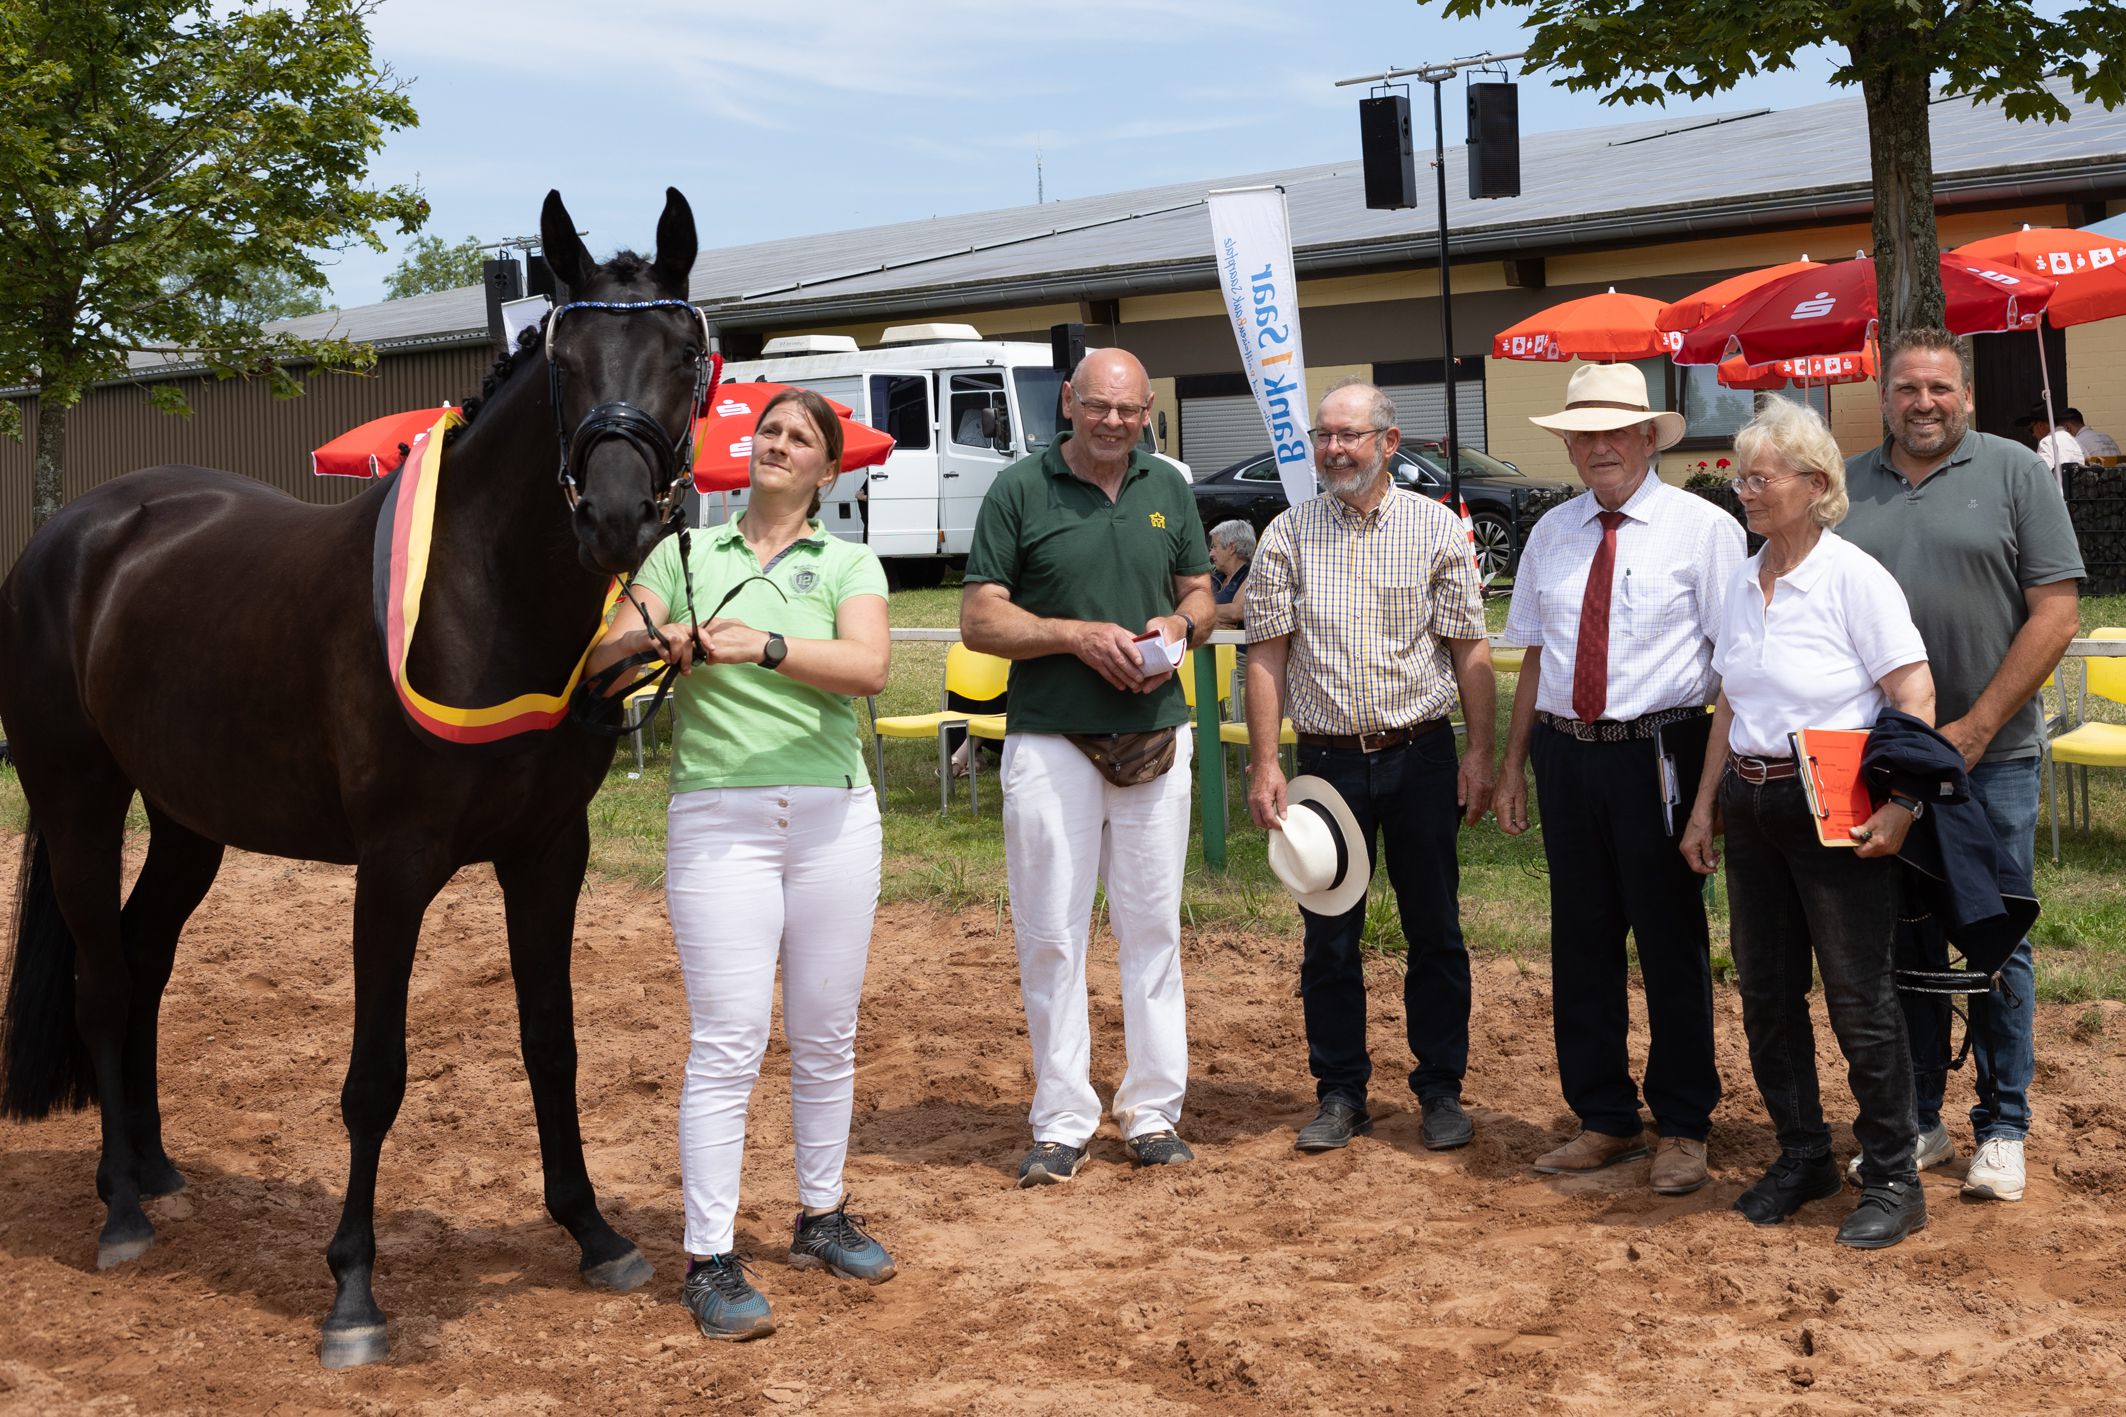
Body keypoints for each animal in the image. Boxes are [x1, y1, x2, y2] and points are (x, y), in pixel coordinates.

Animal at [0, 185, 710, 1359]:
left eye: (686, 355)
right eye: (562, 362)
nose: (614, 517)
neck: (480, 598)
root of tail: (73, 534)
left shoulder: (547, 854)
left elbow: (551, 1042)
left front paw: (594, 1233)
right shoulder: (395, 867)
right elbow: (374, 1077)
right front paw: (353, 1291)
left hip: (189, 820)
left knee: (144, 960)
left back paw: (154, 1166)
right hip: (77, 802)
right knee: (103, 984)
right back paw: (122, 1210)